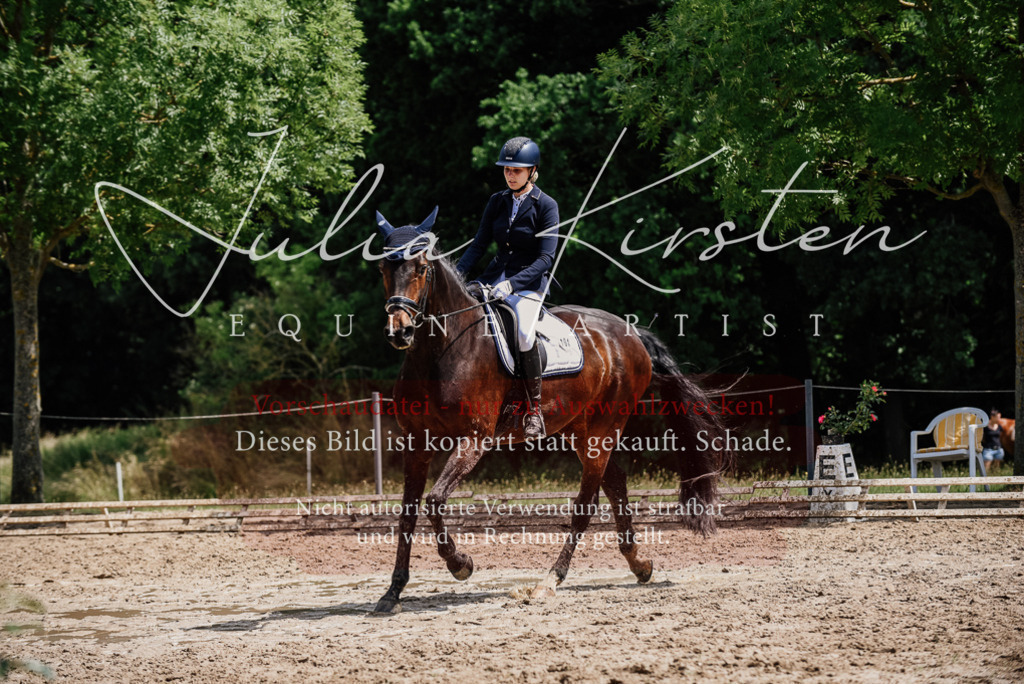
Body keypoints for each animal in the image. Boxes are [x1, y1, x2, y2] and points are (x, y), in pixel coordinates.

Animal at [371, 208, 730, 614]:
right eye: (383, 267)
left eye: (421, 268)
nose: (399, 332)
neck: (441, 350)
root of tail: (631, 334)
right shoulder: (417, 442)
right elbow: (408, 513)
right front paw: (393, 591)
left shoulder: (475, 439)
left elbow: (433, 502)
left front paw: (461, 564)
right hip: (581, 428)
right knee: (615, 483)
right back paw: (639, 564)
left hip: (605, 425)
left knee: (586, 504)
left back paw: (551, 580)